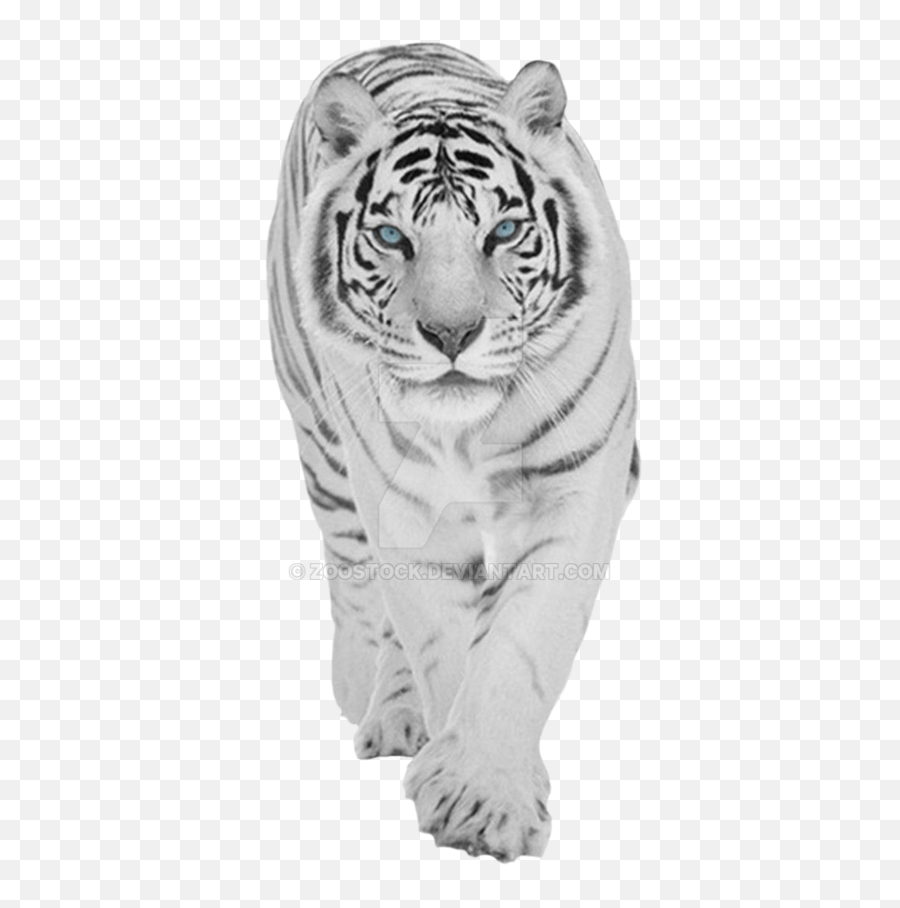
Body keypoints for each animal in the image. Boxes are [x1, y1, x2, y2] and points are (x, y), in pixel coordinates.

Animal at [267, 42, 639, 861]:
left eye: (503, 232)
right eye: (391, 238)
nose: (451, 335)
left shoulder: (576, 487)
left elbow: (520, 642)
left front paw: (485, 800)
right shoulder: (404, 508)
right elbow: (437, 633)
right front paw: (466, 779)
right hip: (322, 445)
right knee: (355, 577)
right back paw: (375, 698)